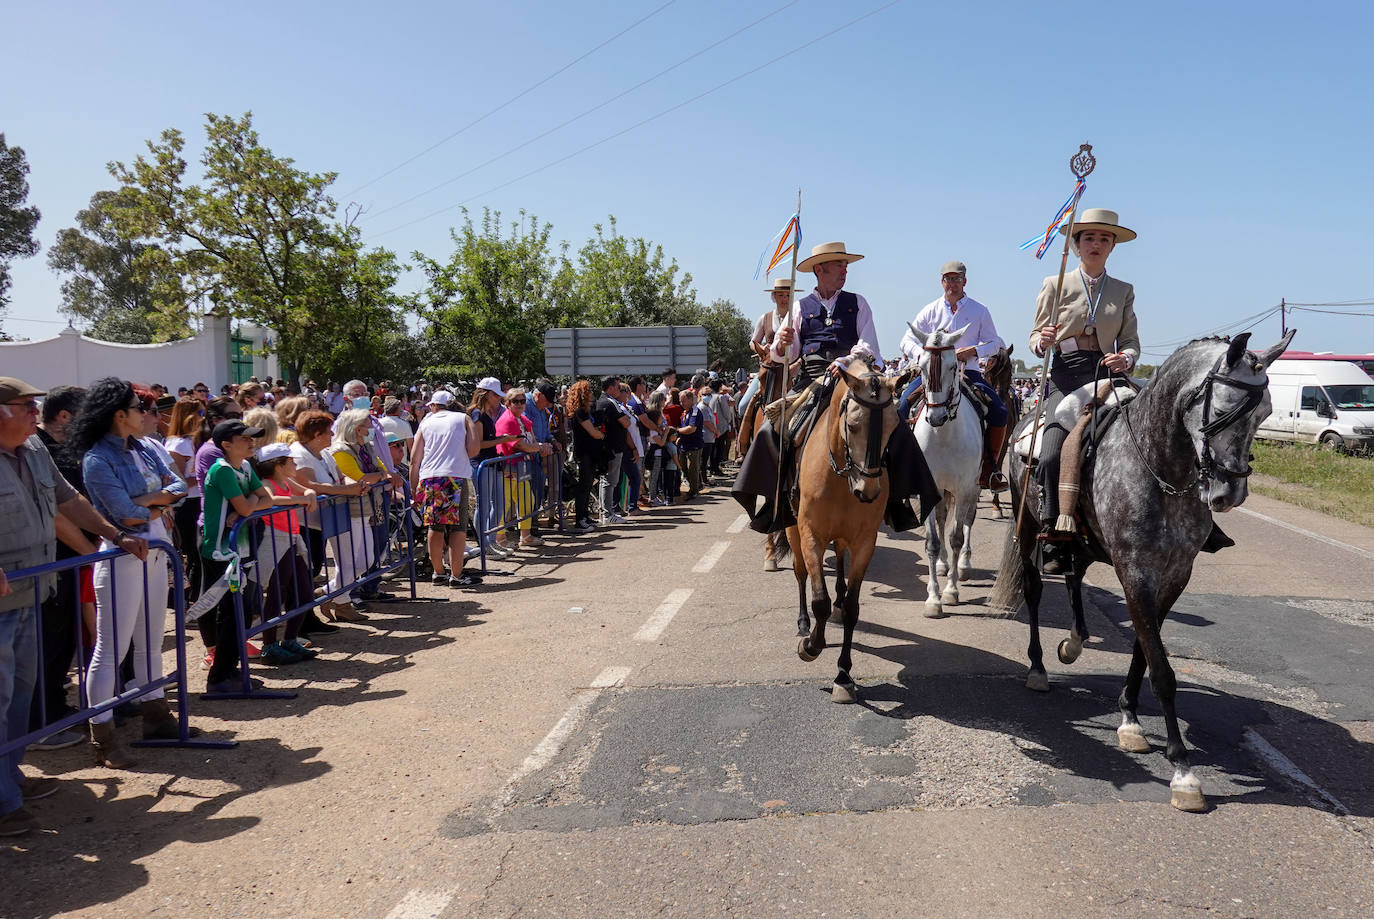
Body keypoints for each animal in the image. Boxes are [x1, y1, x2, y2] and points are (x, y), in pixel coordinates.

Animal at [785, 357, 901, 703]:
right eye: (852, 425)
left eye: (894, 427)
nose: (868, 491)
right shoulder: (810, 534)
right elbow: (818, 599)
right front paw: (811, 645)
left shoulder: (865, 542)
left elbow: (851, 607)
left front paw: (843, 675)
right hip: (792, 530)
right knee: (800, 574)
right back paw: (803, 624)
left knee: (838, 563)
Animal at [906, 322, 983, 615]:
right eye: (922, 366)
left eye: (952, 366)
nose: (936, 417)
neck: (944, 436)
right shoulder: (928, 487)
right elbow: (932, 542)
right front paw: (933, 598)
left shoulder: (963, 489)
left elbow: (956, 537)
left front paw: (950, 591)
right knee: (940, 519)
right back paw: (942, 564)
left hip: (974, 487)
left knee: (968, 520)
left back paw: (962, 566)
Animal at [994, 331, 1291, 807]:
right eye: (1222, 412)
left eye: (1263, 414)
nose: (1230, 493)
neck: (1158, 467)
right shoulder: (1134, 571)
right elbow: (1163, 671)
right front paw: (1183, 770)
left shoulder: (1173, 575)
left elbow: (1144, 649)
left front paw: (1130, 719)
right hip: (1027, 527)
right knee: (1036, 590)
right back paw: (1038, 667)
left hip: (1083, 542)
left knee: (1075, 576)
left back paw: (1074, 641)